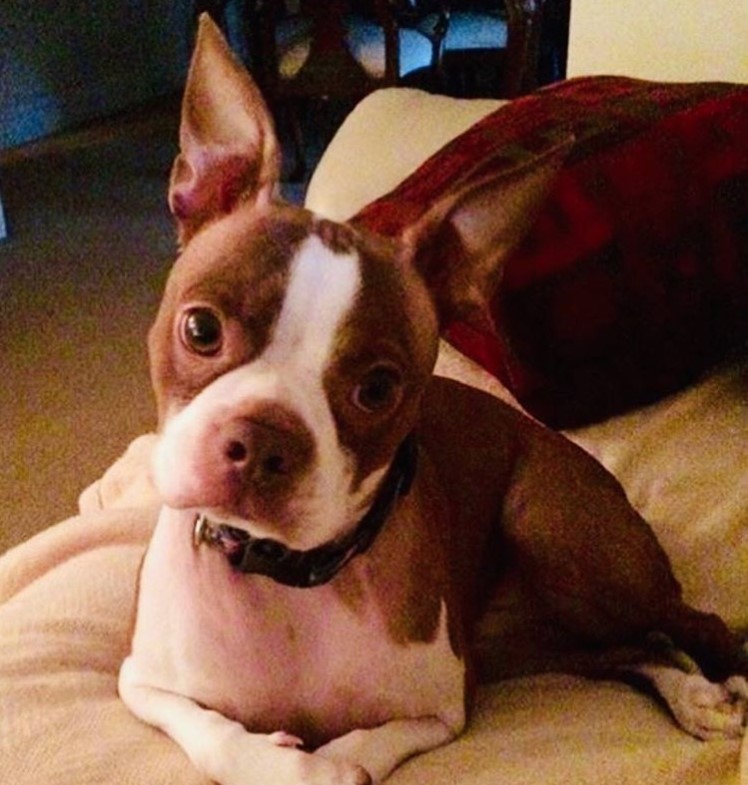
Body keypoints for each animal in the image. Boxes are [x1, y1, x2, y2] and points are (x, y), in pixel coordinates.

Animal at [120, 15, 744, 780]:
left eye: (376, 388)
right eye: (201, 329)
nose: (263, 441)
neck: (283, 578)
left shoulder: (444, 708)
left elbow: (364, 743)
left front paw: (329, 763)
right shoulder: (142, 684)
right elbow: (216, 732)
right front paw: (284, 759)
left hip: (553, 530)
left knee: (686, 623)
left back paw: (709, 689)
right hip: (528, 634)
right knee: (622, 650)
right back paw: (689, 693)